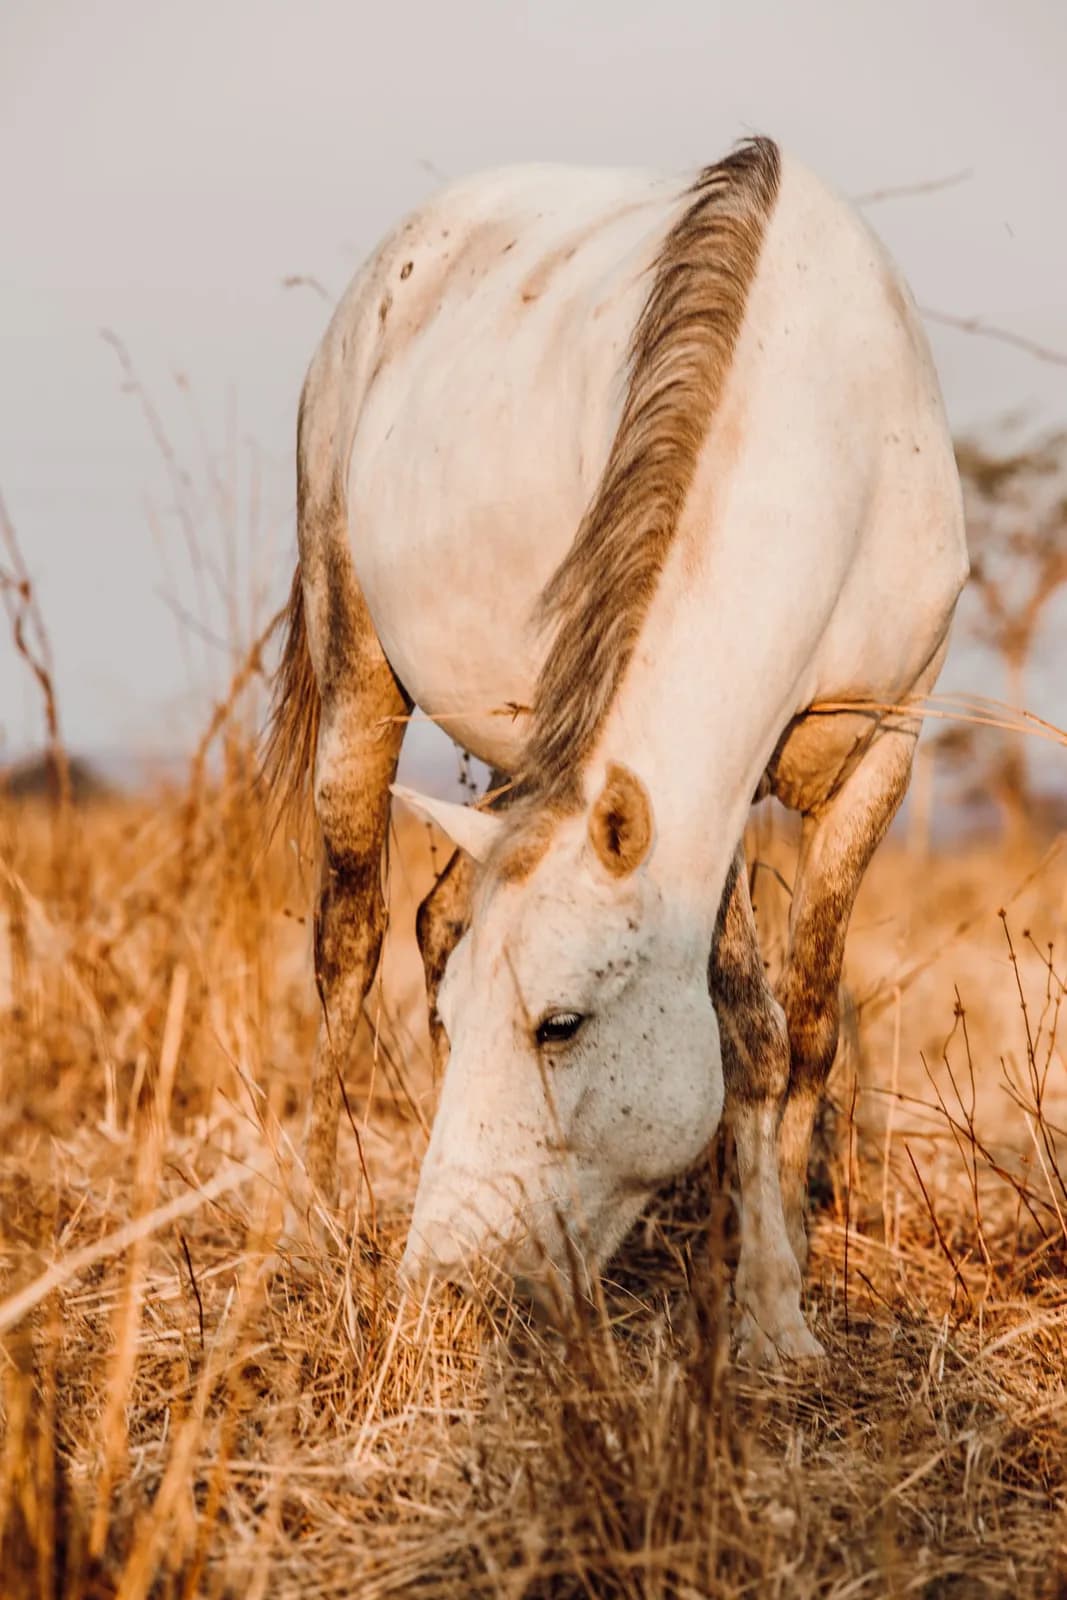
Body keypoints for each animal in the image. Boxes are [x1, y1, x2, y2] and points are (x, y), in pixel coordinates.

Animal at [264, 137, 967, 1364]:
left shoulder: (887, 747)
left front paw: (779, 1291)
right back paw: (313, 1212)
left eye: (561, 1025)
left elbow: (810, 1028)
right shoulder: (700, 796)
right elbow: (747, 1028)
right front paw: (763, 1312)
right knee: (346, 943)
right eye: (457, 1023)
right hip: (358, 673)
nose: (441, 1283)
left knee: (436, 918)